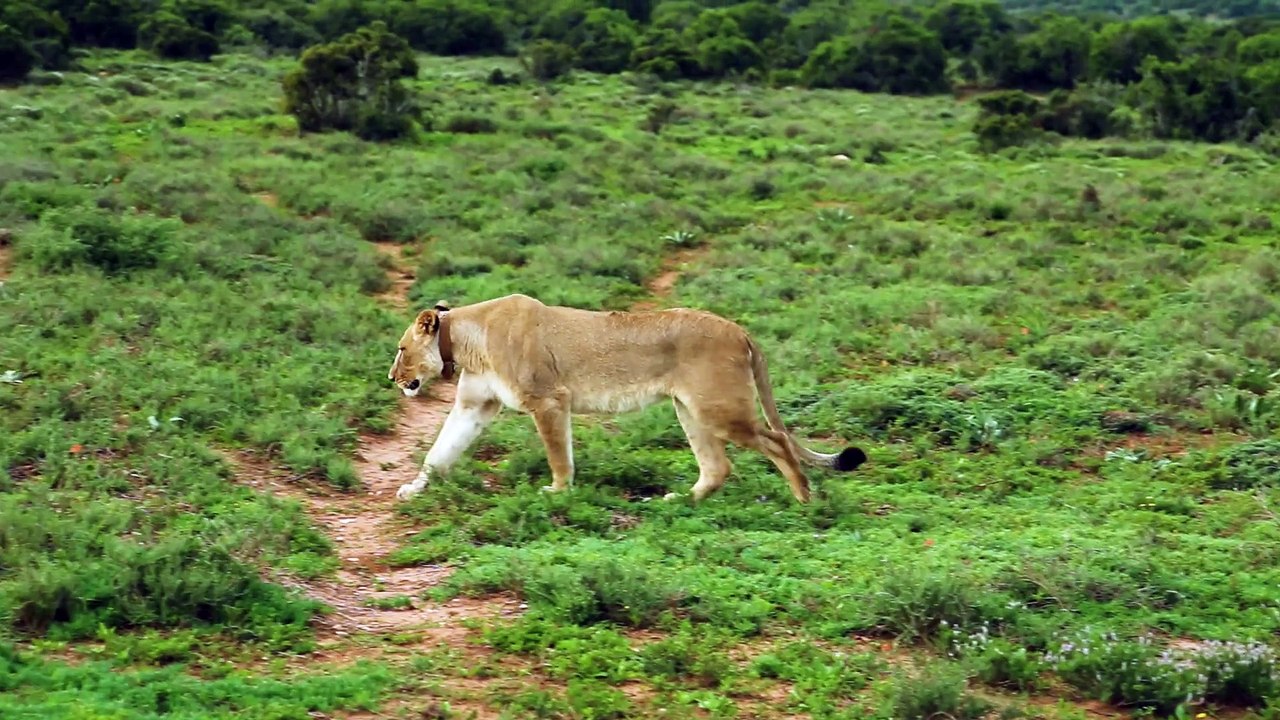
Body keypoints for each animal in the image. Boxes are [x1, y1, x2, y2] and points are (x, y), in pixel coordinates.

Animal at [387, 293, 867, 504]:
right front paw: (413, 489)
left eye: (401, 348)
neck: (466, 340)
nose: (392, 377)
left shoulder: (549, 399)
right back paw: (681, 502)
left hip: (719, 408)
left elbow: (558, 454)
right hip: (690, 409)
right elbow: (439, 453)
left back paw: (804, 501)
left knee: (777, 441)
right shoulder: (475, 406)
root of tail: (741, 330)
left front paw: (557, 492)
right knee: (719, 466)